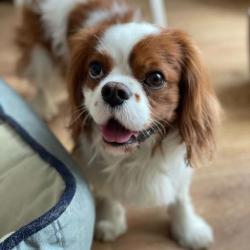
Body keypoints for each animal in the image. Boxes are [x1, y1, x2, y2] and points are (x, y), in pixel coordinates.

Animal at [15, 0, 219, 249]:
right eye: (95, 69)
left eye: (156, 78)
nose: (113, 91)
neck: (138, 152)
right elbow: (105, 186)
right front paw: (110, 220)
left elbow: (180, 193)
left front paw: (188, 228)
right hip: (41, 54)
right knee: (40, 80)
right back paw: (42, 105)